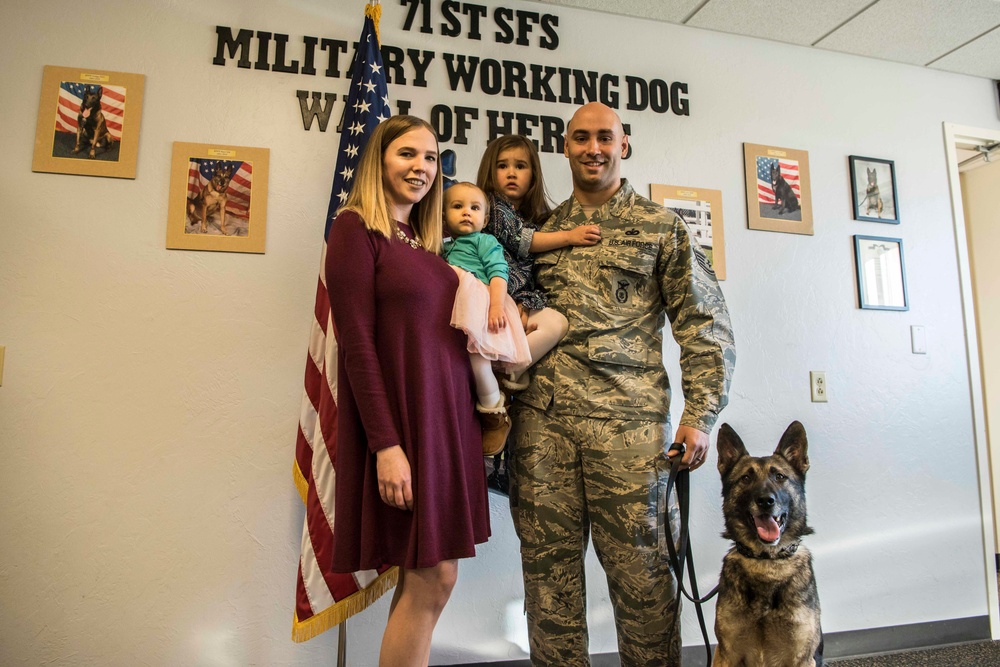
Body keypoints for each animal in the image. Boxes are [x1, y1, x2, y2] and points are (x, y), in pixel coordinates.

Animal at [712, 422, 820, 667]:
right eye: (745, 478)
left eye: (780, 476)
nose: (765, 501)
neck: (767, 560)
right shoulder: (726, 654)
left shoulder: (802, 658)